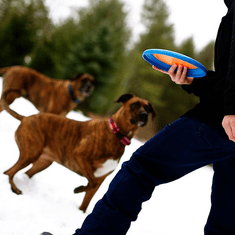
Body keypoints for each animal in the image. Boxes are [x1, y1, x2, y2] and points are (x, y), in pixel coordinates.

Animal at [3, 93, 156, 213]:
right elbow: (91, 183)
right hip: (31, 154)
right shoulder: (81, 157)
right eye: (134, 104)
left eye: (147, 109)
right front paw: (79, 189)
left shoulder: (101, 179)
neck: (116, 134)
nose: (144, 115)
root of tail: (25, 118)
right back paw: (15, 188)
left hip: (43, 162)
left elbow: (87, 199)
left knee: (14, 172)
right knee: (10, 172)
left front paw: (80, 211)